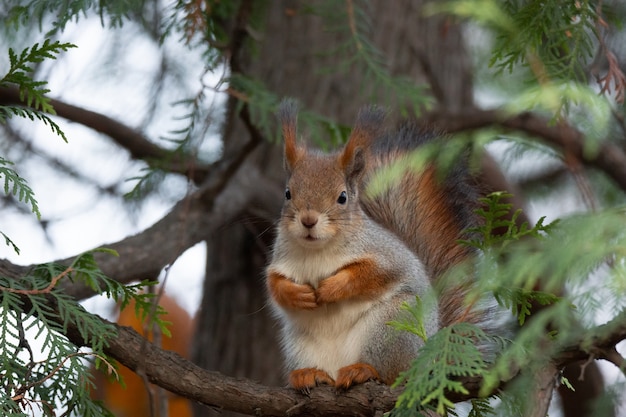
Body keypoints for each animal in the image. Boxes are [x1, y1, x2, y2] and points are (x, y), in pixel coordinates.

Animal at [264, 101, 482, 390]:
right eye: (288, 193)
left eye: (342, 197)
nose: (308, 220)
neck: (317, 251)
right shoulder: (280, 260)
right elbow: (275, 284)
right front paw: (297, 294)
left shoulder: (385, 255)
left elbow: (370, 274)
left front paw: (333, 287)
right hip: (300, 344)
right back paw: (309, 374)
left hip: (392, 326)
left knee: (391, 374)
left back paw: (364, 370)